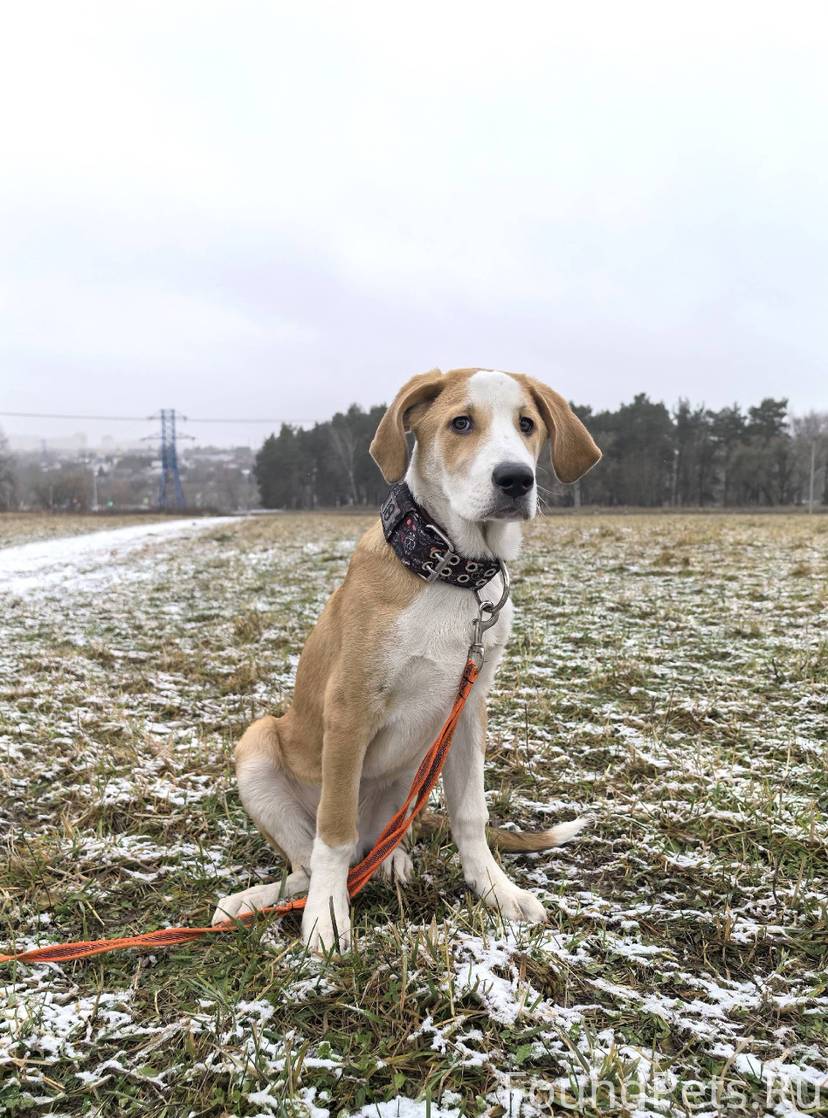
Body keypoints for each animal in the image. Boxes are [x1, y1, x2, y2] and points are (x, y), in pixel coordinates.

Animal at [213, 368, 601, 951]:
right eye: (461, 423)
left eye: (527, 425)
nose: (515, 480)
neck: (451, 574)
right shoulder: (348, 708)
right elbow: (334, 832)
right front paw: (327, 920)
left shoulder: (468, 708)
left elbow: (470, 813)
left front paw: (496, 891)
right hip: (259, 742)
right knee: (313, 861)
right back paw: (256, 900)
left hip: (413, 772)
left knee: (378, 842)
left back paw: (392, 860)